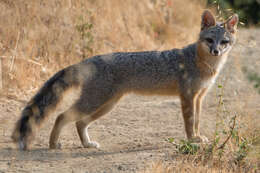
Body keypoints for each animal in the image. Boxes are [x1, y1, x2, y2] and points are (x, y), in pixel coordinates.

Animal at [12, 9, 240, 150]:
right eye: (209, 40)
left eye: (224, 42)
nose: (216, 51)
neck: (204, 64)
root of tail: (90, 59)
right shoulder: (187, 97)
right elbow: (190, 121)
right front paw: (192, 139)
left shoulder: (199, 97)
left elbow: (198, 120)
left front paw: (198, 137)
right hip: (96, 102)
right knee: (61, 116)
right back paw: (53, 144)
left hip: (106, 105)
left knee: (79, 122)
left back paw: (86, 144)